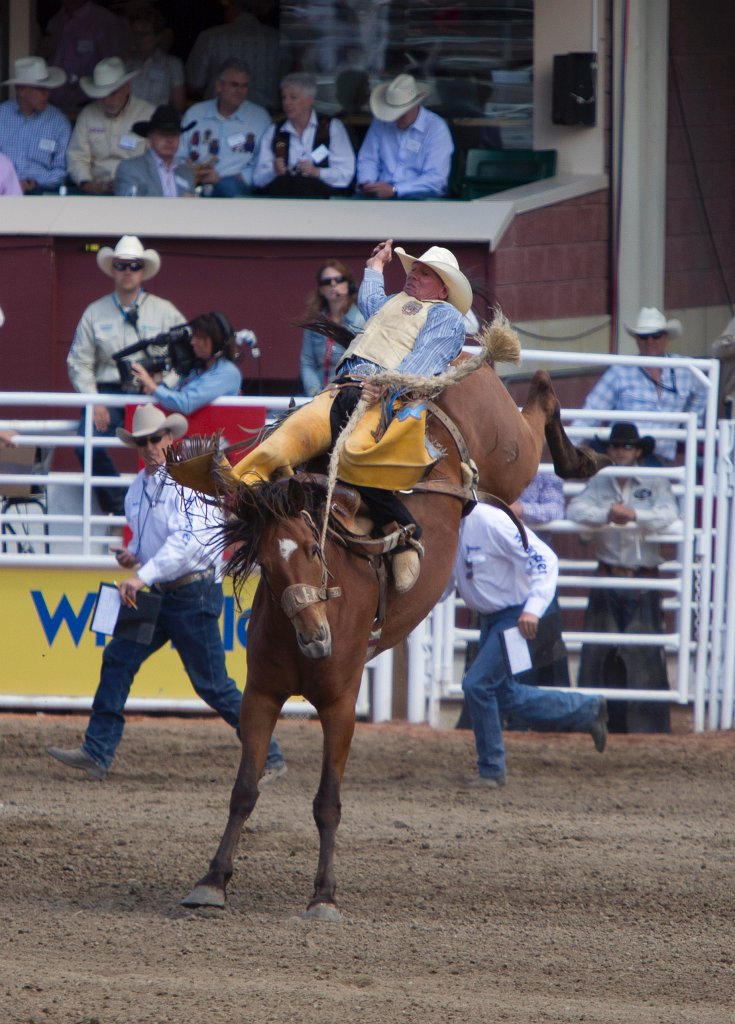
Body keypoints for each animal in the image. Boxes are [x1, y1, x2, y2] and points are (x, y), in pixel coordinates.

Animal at [176, 358, 606, 913]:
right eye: (266, 565)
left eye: (315, 549)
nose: (316, 638)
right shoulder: (261, 696)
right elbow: (244, 790)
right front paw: (213, 880)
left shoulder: (340, 705)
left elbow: (327, 802)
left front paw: (324, 896)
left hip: (509, 448)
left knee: (539, 406)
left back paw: (578, 451)